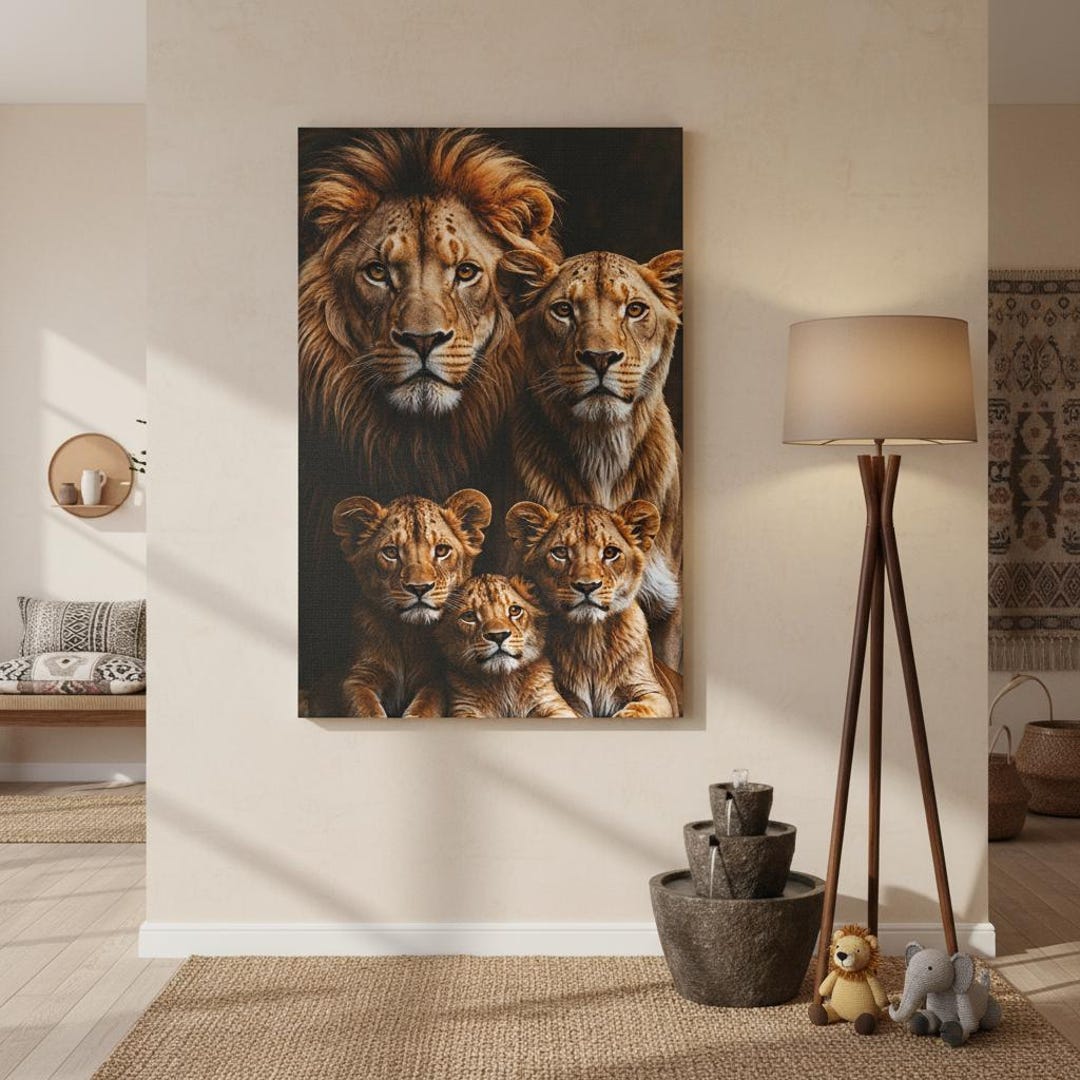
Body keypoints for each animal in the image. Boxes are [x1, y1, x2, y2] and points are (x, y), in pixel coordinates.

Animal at [331, 489, 491, 717]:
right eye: (391, 552)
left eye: (441, 550)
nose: (419, 588)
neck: (407, 634)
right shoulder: (356, 678)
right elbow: (365, 709)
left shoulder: (438, 680)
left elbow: (426, 706)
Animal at [436, 574, 576, 718]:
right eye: (469, 616)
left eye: (514, 610)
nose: (498, 636)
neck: (503, 681)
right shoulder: (464, 708)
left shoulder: (552, 703)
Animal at [505, 500, 679, 718]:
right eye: (560, 552)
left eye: (610, 553)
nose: (587, 586)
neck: (591, 640)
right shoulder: (564, 699)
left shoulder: (653, 692)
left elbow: (641, 708)